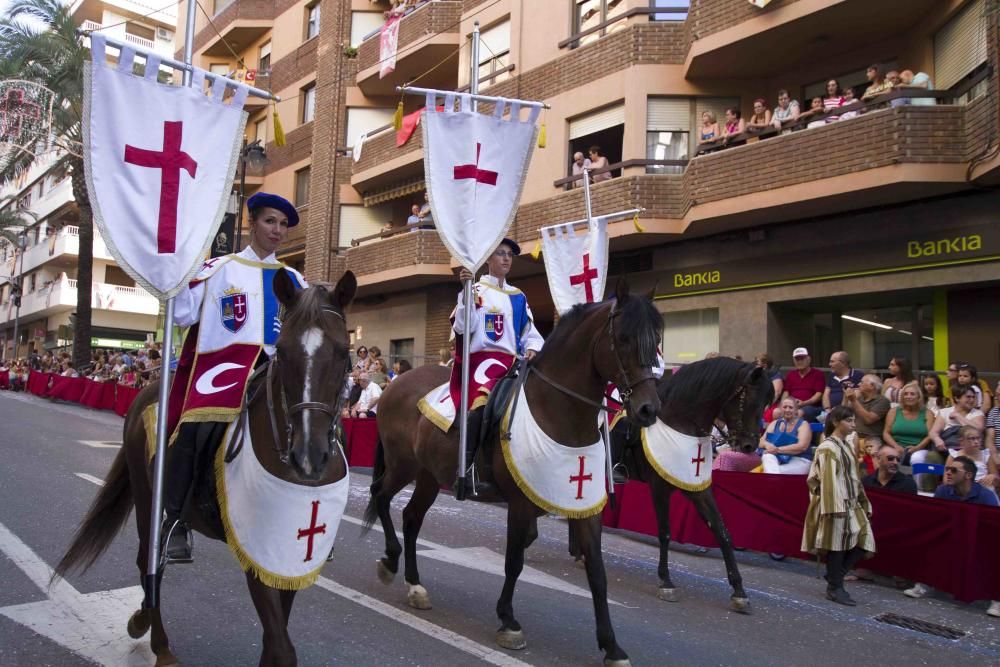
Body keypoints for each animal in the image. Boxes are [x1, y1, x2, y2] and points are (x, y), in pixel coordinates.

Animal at [54, 272, 358, 667]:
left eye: (343, 353)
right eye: (284, 351)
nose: (309, 455)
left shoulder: (288, 559)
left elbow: (275, 640)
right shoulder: (257, 553)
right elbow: (281, 647)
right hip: (145, 493)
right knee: (148, 562)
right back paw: (157, 640)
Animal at [364, 282, 660, 667]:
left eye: (657, 339)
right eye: (623, 338)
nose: (649, 409)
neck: (558, 412)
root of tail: (397, 384)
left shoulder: (582, 506)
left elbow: (596, 572)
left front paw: (612, 646)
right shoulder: (519, 503)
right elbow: (514, 561)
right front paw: (508, 621)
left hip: (428, 474)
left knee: (411, 517)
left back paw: (415, 585)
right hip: (403, 465)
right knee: (381, 497)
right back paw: (389, 560)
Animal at [612, 358, 768, 612]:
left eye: (766, 403)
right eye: (749, 401)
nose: (749, 446)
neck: (680, 423)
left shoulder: (698, 489)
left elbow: (722, 532)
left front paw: (739, 591)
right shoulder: (659, 487)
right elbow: (664, 532)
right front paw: (666, 582)